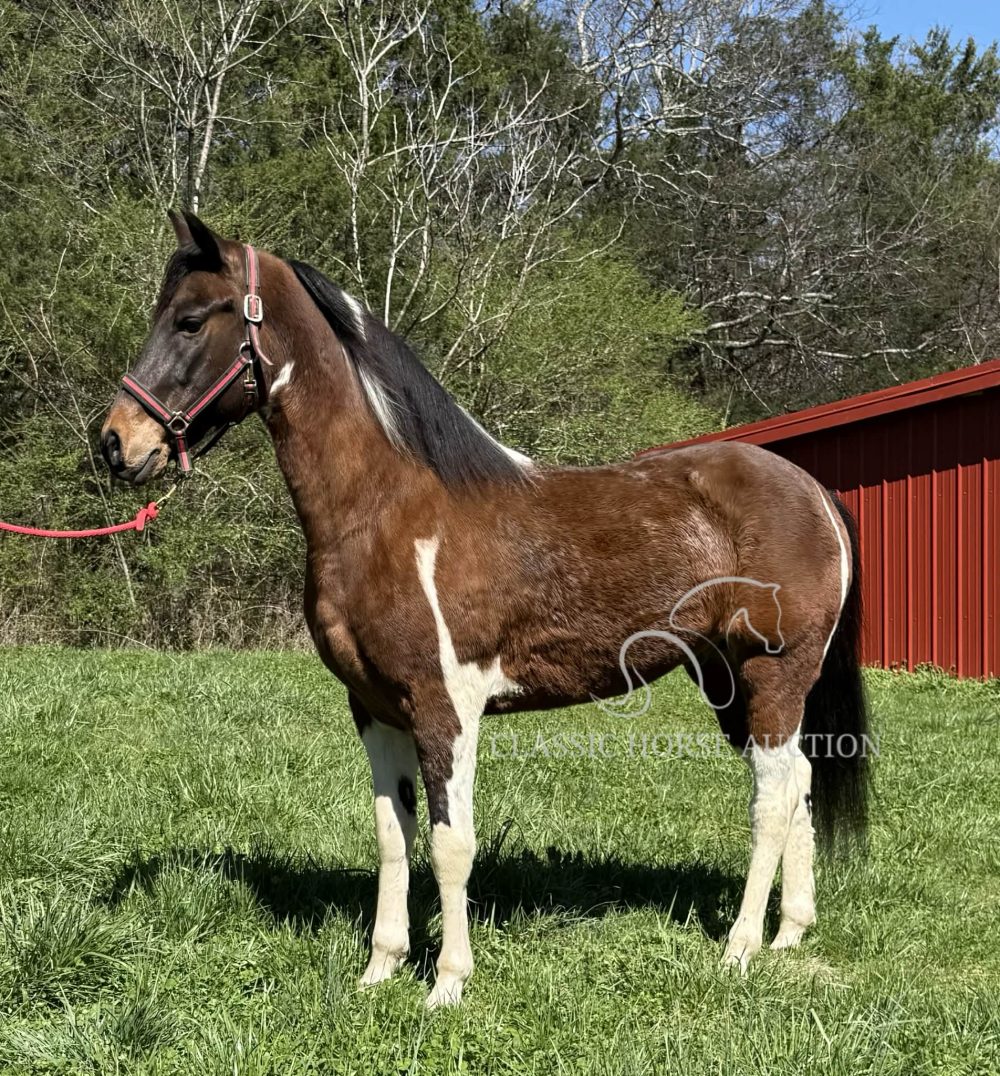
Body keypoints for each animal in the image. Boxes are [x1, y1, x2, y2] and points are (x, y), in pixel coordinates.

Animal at [101, 211, 869, 1008]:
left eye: (191, 320)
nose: (115, 442)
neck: (386, 510)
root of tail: (812, 491)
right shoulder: (374, 709)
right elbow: (392, 836)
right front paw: (380, 969)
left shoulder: (447, 707)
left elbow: (450, 845)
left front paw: (446, 983)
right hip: (729, 685)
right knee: (800, 783)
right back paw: (789, 934)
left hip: (771, 677)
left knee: (772, 797)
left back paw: (740, 947)